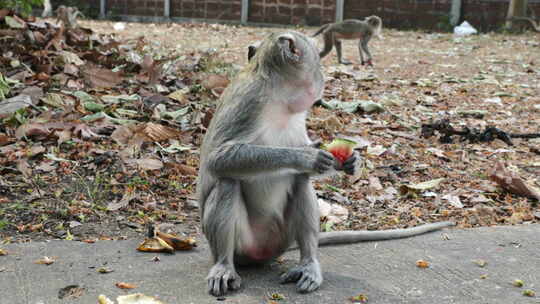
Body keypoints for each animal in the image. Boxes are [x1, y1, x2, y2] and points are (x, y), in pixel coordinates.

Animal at [196, 31, 454, 296]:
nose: (322, 76)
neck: (278, 95)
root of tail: (264, 254)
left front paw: (350, 161)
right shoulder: (249, 100)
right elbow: (219, 157)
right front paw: (305, 156)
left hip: (281, 236)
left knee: (300, 181)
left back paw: (308, 264)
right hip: (244, 244)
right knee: (227, 182)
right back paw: (225, 265)